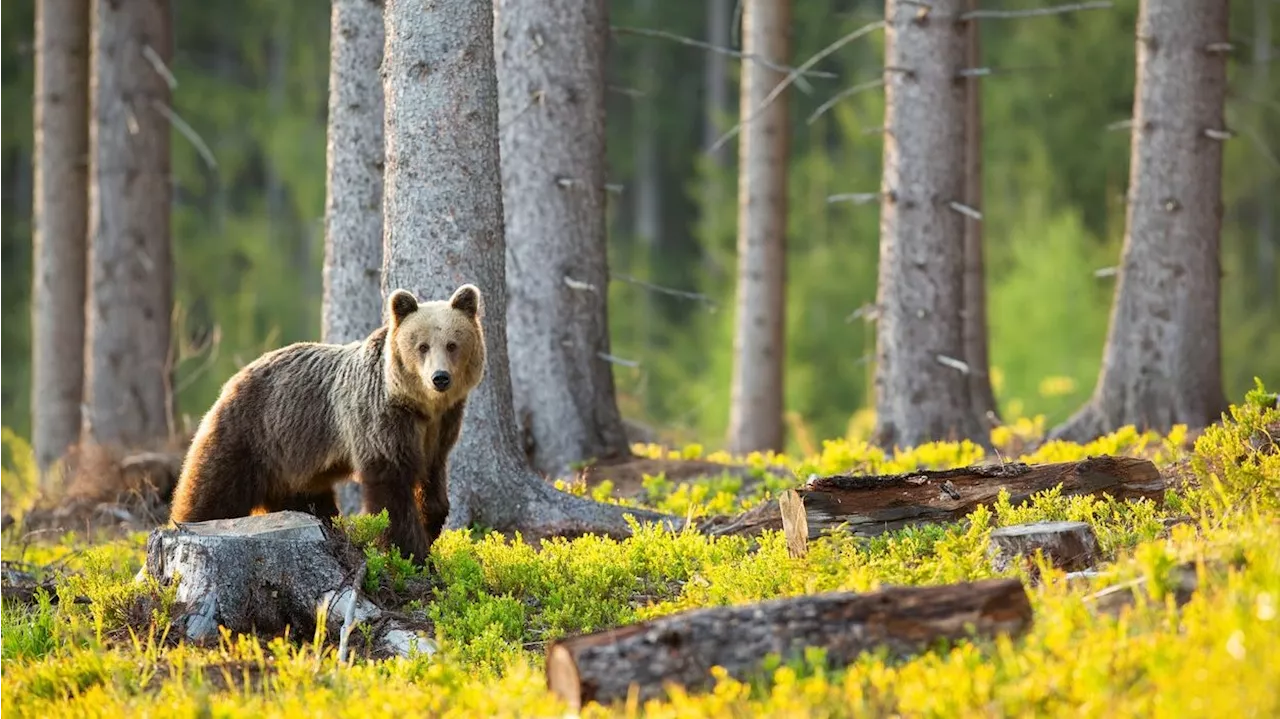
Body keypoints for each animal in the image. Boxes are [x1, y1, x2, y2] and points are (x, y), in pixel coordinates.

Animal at [167, 282, 486, 562]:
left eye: (452, 344)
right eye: (422, 346)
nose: (440, 378)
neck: (420, 406)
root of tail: (234, 378)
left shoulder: (441, 427)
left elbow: (433, 482)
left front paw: (430, 525)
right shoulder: (380, 420)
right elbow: (391, 491)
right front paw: (411, 552)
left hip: (295, 463)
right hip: (250, 432)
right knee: (213, 490)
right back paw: (185, 524)